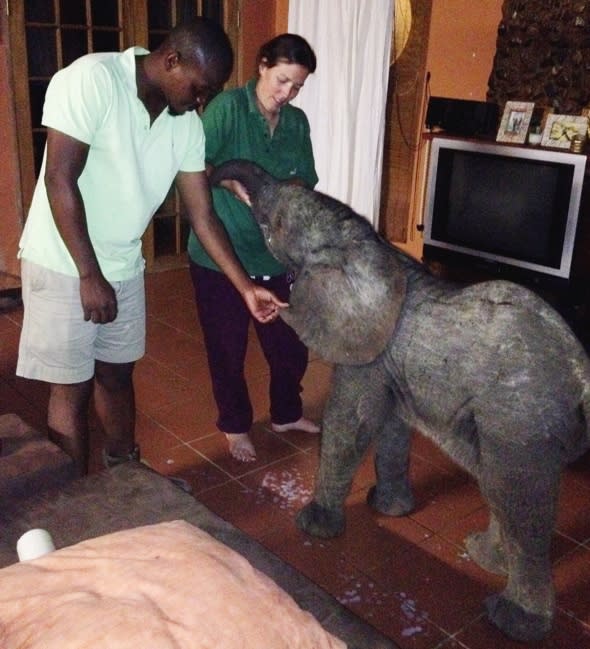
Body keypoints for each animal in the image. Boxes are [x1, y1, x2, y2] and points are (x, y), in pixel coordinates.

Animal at [213, 158, 590, 644]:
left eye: (274, 225)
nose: (210, 173)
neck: (365, 245)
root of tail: (582, 375)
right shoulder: (389, 362)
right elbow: (390, 427)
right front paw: (390, 510)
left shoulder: (366, 351)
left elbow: (350, 422)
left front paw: (314, 528)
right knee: (499, 487)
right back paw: (482, 557)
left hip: (522, 419)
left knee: (516, 495)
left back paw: (510, 620)